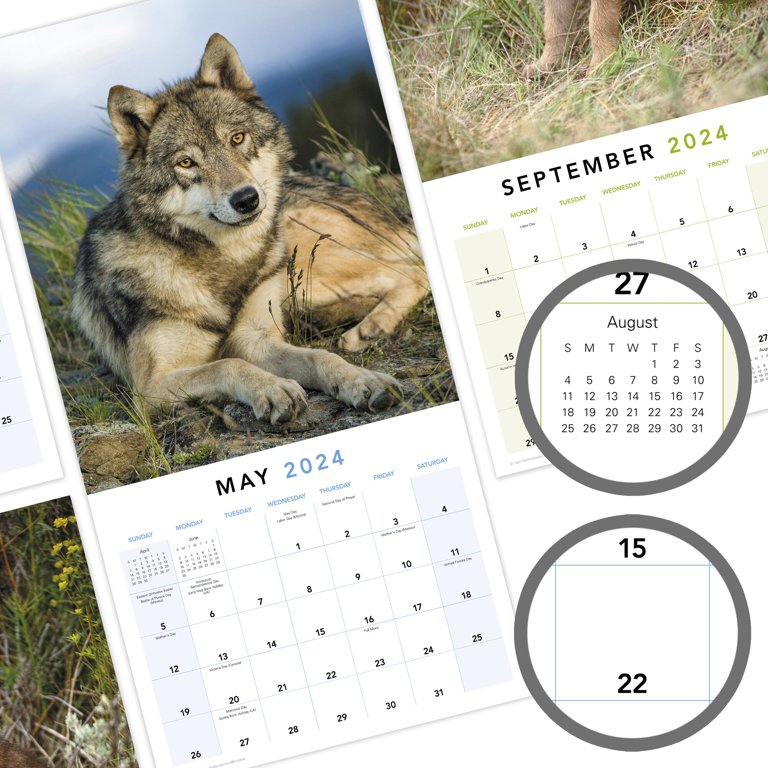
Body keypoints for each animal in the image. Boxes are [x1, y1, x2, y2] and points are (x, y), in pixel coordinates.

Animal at [73, 34, 428, 425]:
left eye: (237, 139)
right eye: (186, 162)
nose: (246, 200)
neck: (224, 263)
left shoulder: (256, 337)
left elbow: (319, 356)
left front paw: (363, 381)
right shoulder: (151, 387)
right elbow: (229, 364)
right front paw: (273, 389)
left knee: (411, 271)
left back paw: (367, 329)